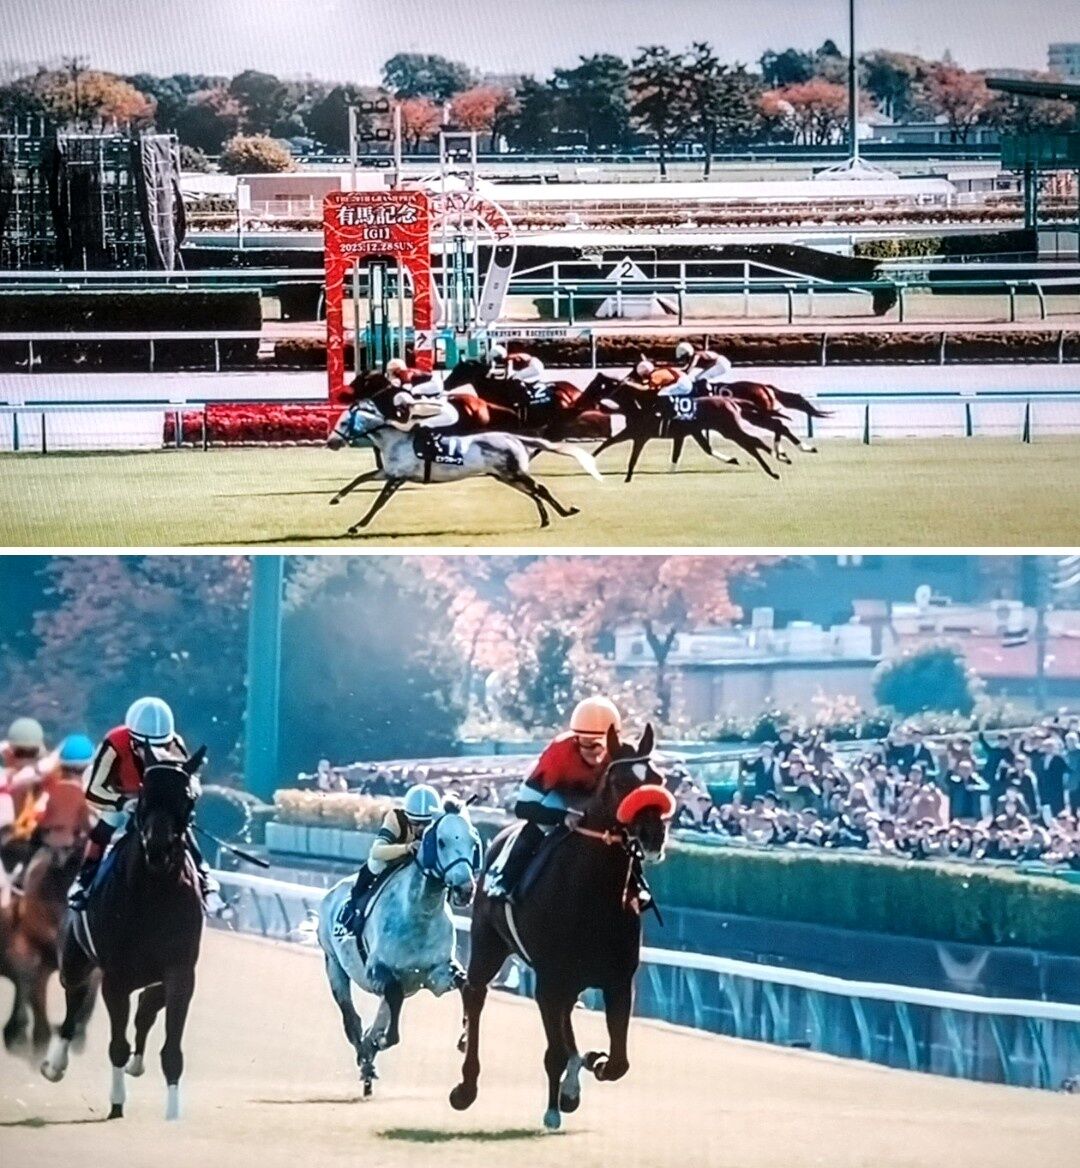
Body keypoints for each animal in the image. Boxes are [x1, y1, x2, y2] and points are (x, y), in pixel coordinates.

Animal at [41, 748, 207, 1121]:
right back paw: (55, 1065)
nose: (158, 848)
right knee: (74, 1002)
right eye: (144, 794)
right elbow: (117, 1044)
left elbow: (171, 1049)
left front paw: (173, 1112)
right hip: (74, 961)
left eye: (187, 797)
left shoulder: (180, 972)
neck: (155, 892)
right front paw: (117, 1102)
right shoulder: (115, 978)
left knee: (146, 1007)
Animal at [315, 803, 483, 1096]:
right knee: (352, 1020)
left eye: (473, 842)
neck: (420, 913)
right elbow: (389, 1016)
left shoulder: (438, 973)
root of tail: (332, 892)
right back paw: (366, 1059)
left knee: (379, 1015)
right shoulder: (379, 971)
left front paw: (464, 1038)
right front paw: (379, 1042)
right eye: (441, 841)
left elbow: (464, 985)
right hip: (334, 964)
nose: (465, 889)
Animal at [325, 400, 602, 533]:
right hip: (506, 476)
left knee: (540, 489)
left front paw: (357, 525)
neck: (395, 439)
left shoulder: (397, 477)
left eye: (344, 422)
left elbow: (377, 504)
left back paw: (566, 512)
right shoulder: (389, 472)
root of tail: (514, 437)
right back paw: (545, 520)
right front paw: (335, 499)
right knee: (533, 492)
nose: (331, 442)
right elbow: (360, 478)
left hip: (514, 472)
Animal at [450, 724, 676, 1130]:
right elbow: (553, 1051)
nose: (653, 835)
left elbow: (619, 1062)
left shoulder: (619, 980)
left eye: (657, 780)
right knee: (474, 995)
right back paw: (466, 1086)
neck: (591, 894)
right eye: (620, 782)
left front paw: (592, 1063)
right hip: (488, 944)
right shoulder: (549, 979)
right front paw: (555, 1105)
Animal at [582, 373, 779, 483]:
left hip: (729, 429)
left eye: (598, 384)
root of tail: (731, 401)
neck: (640, 403)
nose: (583, 397)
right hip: (724, 429)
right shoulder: (636, 432)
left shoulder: (640, 435)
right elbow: (608, 442)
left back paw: (774, 467)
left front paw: (627, 477)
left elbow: (630, 456)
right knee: (753, 442)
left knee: (751, 443)